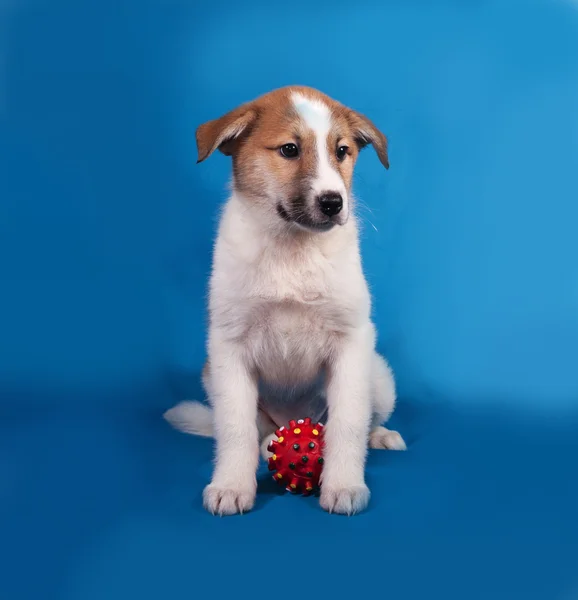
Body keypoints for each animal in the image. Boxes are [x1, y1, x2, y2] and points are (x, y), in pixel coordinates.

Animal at [164, 84, 402, 516]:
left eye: (342, 151)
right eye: (289, 149)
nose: (333, 202)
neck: (292, 249)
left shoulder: (350, 342)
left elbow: (348, 423)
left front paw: (344, 485)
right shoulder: (229, 347)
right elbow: (235, 429)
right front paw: (230, 486)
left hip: (379, 376)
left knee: (365, 418)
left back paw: (381, 436)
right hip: (214, 378)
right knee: (256, 433)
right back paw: (266, 447)